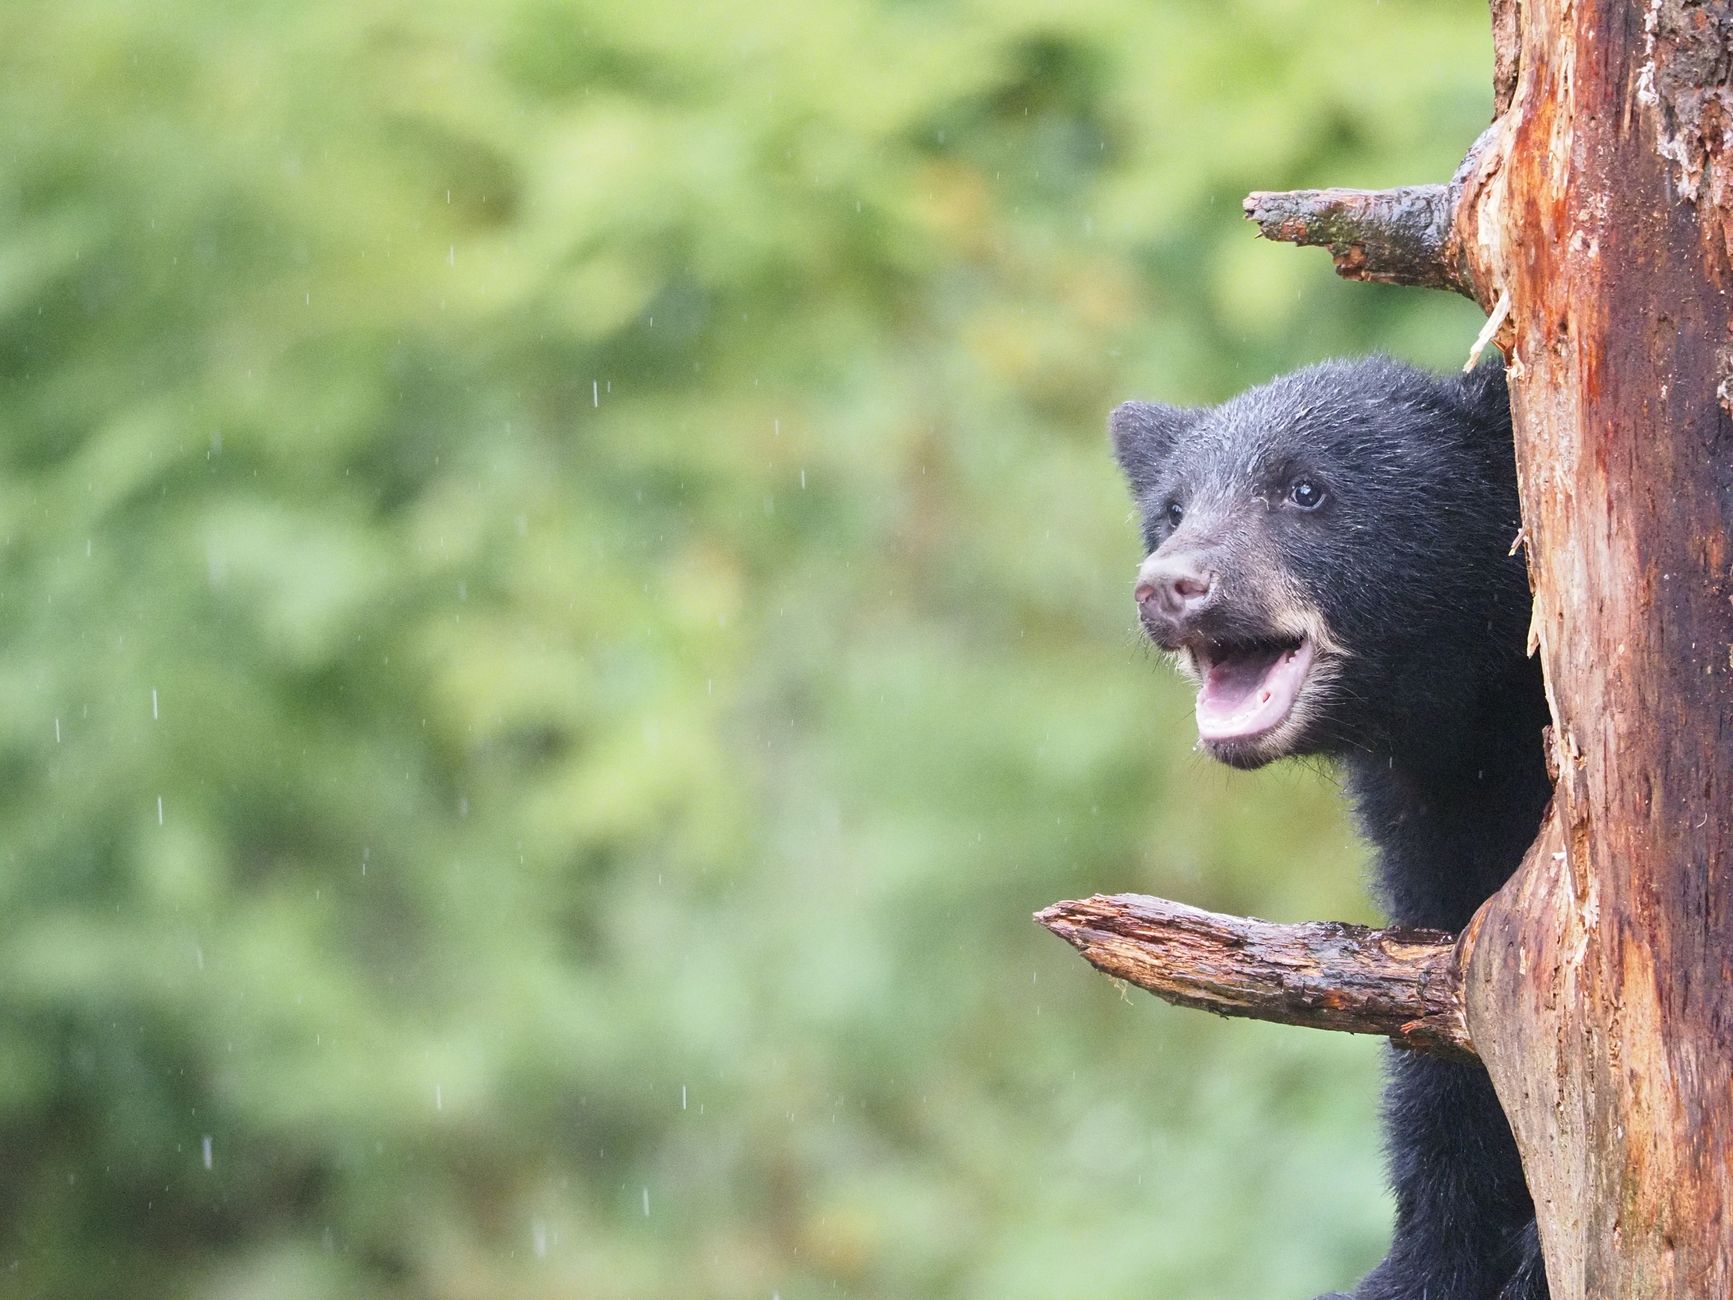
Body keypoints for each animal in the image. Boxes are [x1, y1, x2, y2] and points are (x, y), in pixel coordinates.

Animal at [1108, 357, 1553, 1300]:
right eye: (1172, 509)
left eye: (1305, 489)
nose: (1169, 584)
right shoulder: (1429, 816)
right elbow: (1451, 1011)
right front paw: (1422, 1263)